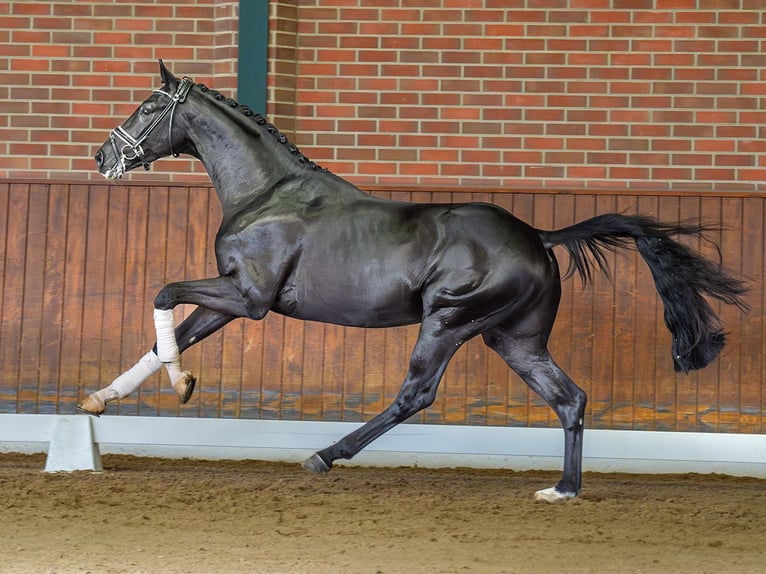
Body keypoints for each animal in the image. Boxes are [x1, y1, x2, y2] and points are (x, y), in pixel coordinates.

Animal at [84, 62, 752, 504]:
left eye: (149, 107)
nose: (103, 157)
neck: (267, 196)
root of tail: (537, 236)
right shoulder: (231, 298)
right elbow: (171, 336)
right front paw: (102, 399)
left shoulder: (249, 299)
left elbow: (163, 294)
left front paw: (181, 385)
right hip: (513, 339)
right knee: (570, 399)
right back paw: (562, 488)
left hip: (449, 321)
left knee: (416, 395)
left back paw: (324, 456)